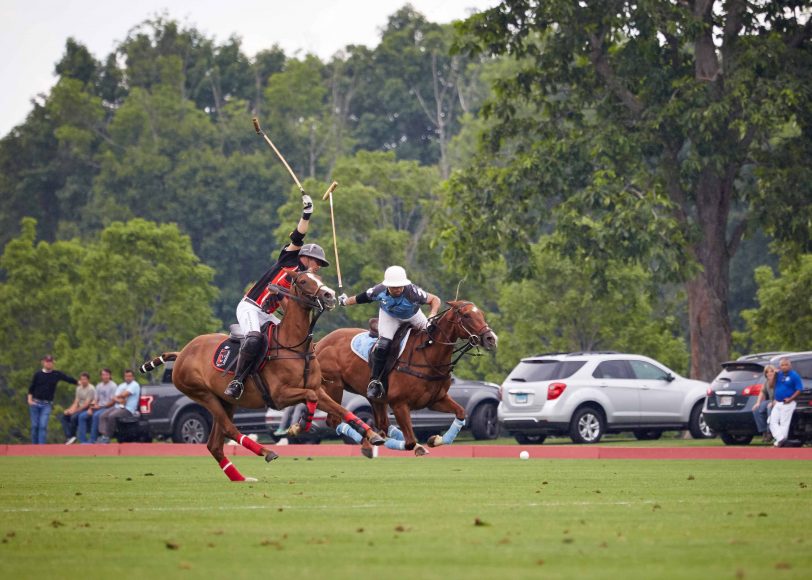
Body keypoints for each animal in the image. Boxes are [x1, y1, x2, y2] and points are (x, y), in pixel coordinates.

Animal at [141, 272, 386, 480]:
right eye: (304, 281)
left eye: (319, 277)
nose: (329, 295)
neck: (295, 347)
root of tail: (182, 352)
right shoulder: (280, 395)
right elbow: (311, 398)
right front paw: (298, 427)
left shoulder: (317, 389)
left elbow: (340, 409)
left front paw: (373, 435)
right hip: (202, 394)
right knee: (229, 429)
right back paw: (266, 451)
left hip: (226, 400)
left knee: (215, 445)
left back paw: (239, 478)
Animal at [316, 302, 494, 456]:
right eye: (466, 315)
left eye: (481, 314)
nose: (490, 338)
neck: (427, 355)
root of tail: (319, 343)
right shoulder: (399, 404)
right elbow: (409, 442)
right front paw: (418, 445)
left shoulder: (436, 400)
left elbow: (461, 412)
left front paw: (435, 440)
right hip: (334, 387)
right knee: (335, 419)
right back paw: (371, 440)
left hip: (375, 397)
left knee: (382, 424)